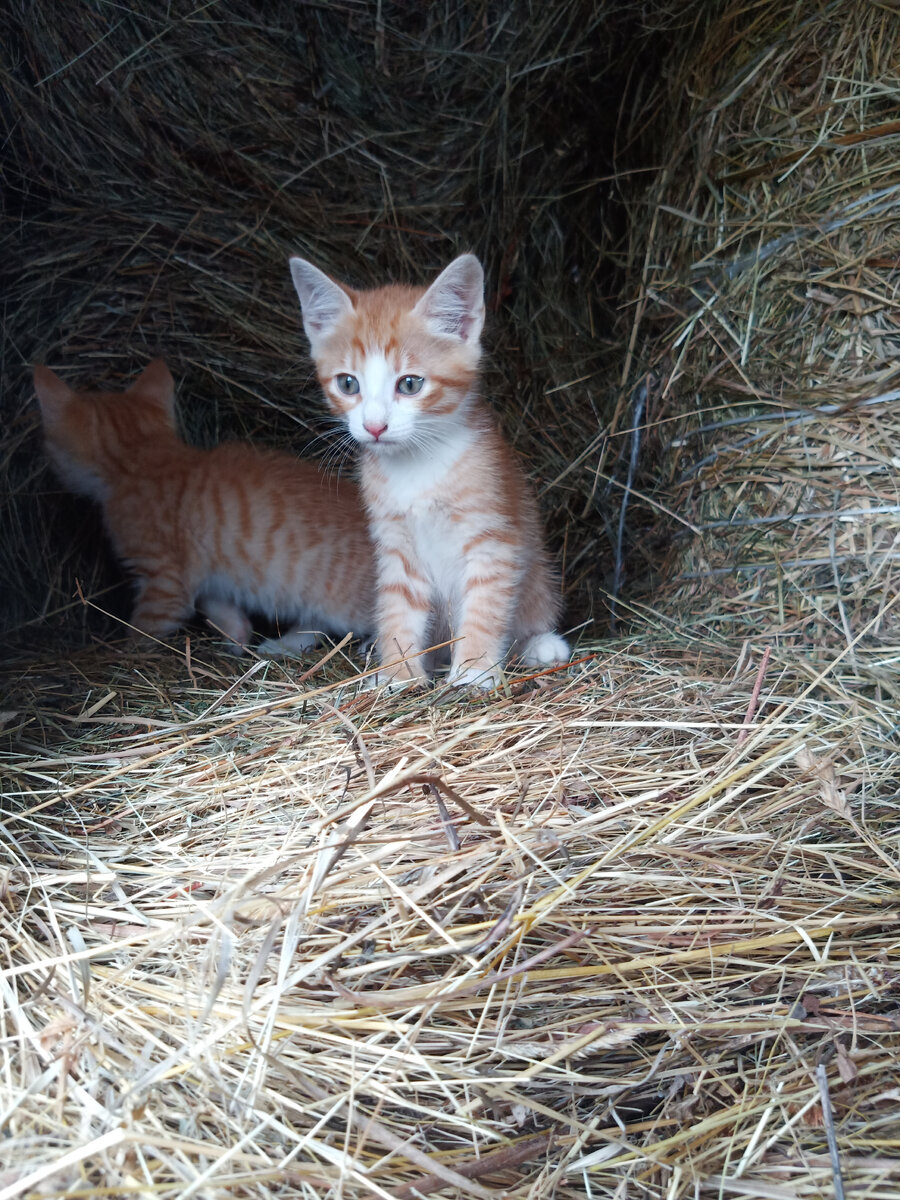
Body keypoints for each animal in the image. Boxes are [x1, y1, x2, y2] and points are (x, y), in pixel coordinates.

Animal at [35, 357, 374, 652]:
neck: (142, 457)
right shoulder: (205, 576)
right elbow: (217, 606)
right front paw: (237, 635)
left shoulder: (164, 582)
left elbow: (144, 631)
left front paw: (124, 656)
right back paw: (280, 647)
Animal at [289, 253, 571, 686]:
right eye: (348, 384)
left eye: (410, 384)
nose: (374, 426)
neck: (417, 465)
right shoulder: (396, 544)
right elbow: (399, 609)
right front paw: (397, 673)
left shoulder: (492, 538)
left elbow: (484, 604)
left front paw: (474, 670)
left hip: (538, 576)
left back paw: (540, 644)